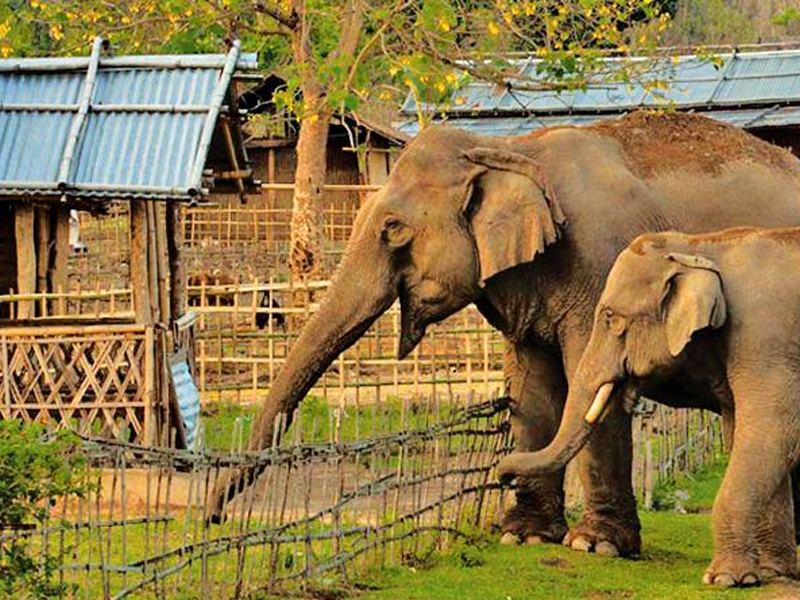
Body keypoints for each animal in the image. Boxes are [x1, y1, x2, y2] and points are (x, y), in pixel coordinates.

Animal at [497, 226, 800, 586]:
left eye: (611, 319)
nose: (503, 477)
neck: (701, 245)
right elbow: (752, 440)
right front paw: (771, 573)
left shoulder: (766, 341)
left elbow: (769, 439)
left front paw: (725, 579)